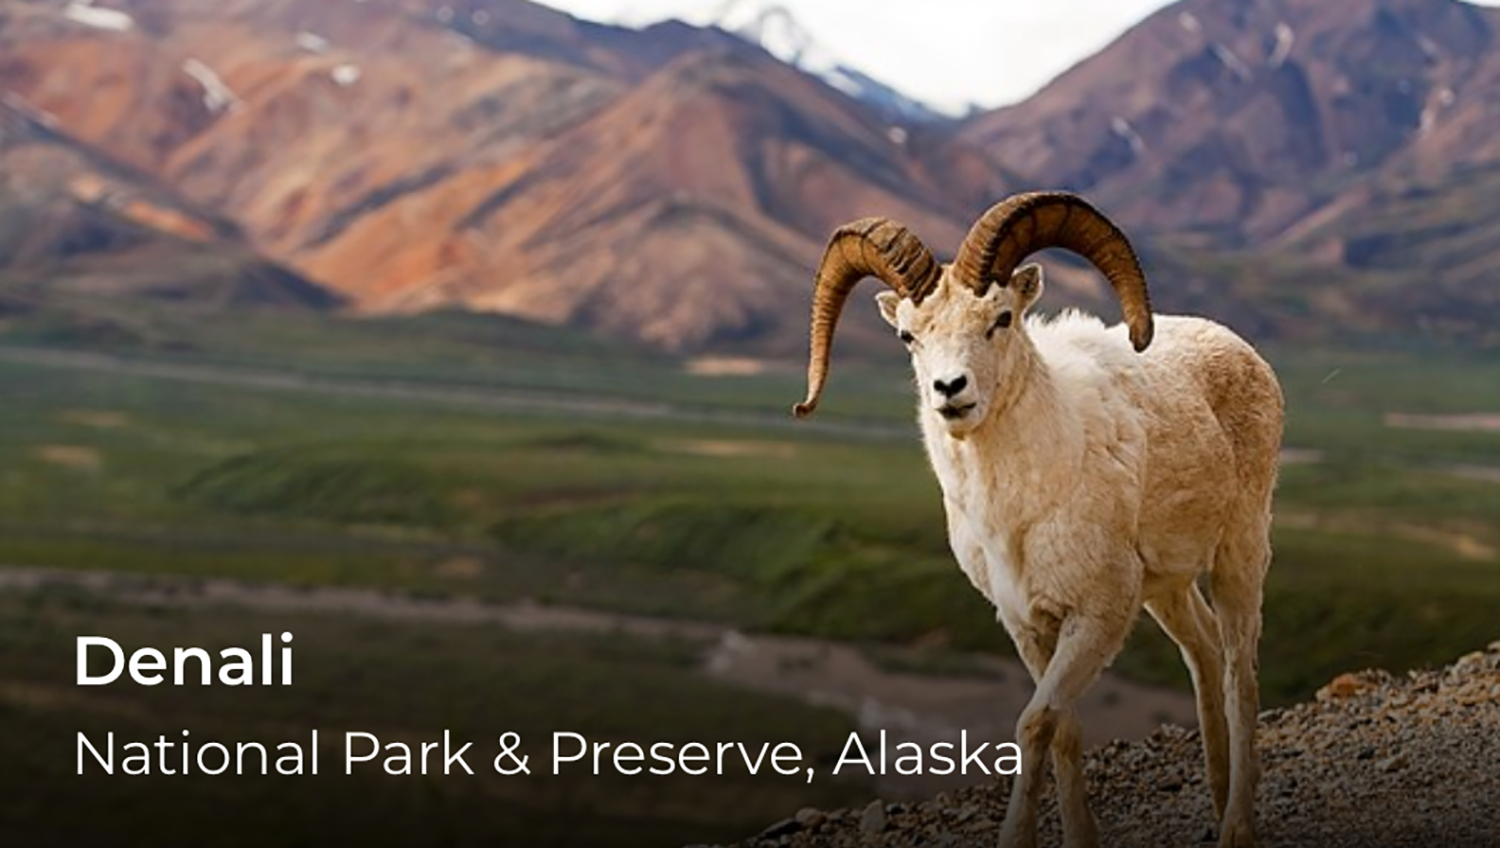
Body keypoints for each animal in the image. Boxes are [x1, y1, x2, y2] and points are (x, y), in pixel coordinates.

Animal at [791, 192, 1283, 848]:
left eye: (1000, 319)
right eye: (907, 335)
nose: (951, 389)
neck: (1017, 515)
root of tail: (1241, 352)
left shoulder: (1097, 616)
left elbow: (1035, 723)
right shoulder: (1027, 624)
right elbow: (1064, 728)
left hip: (1238, 555)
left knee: (1238, 670)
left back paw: (1236, 826)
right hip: (1167, 589)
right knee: (1202, 652)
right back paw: (1217, 795)